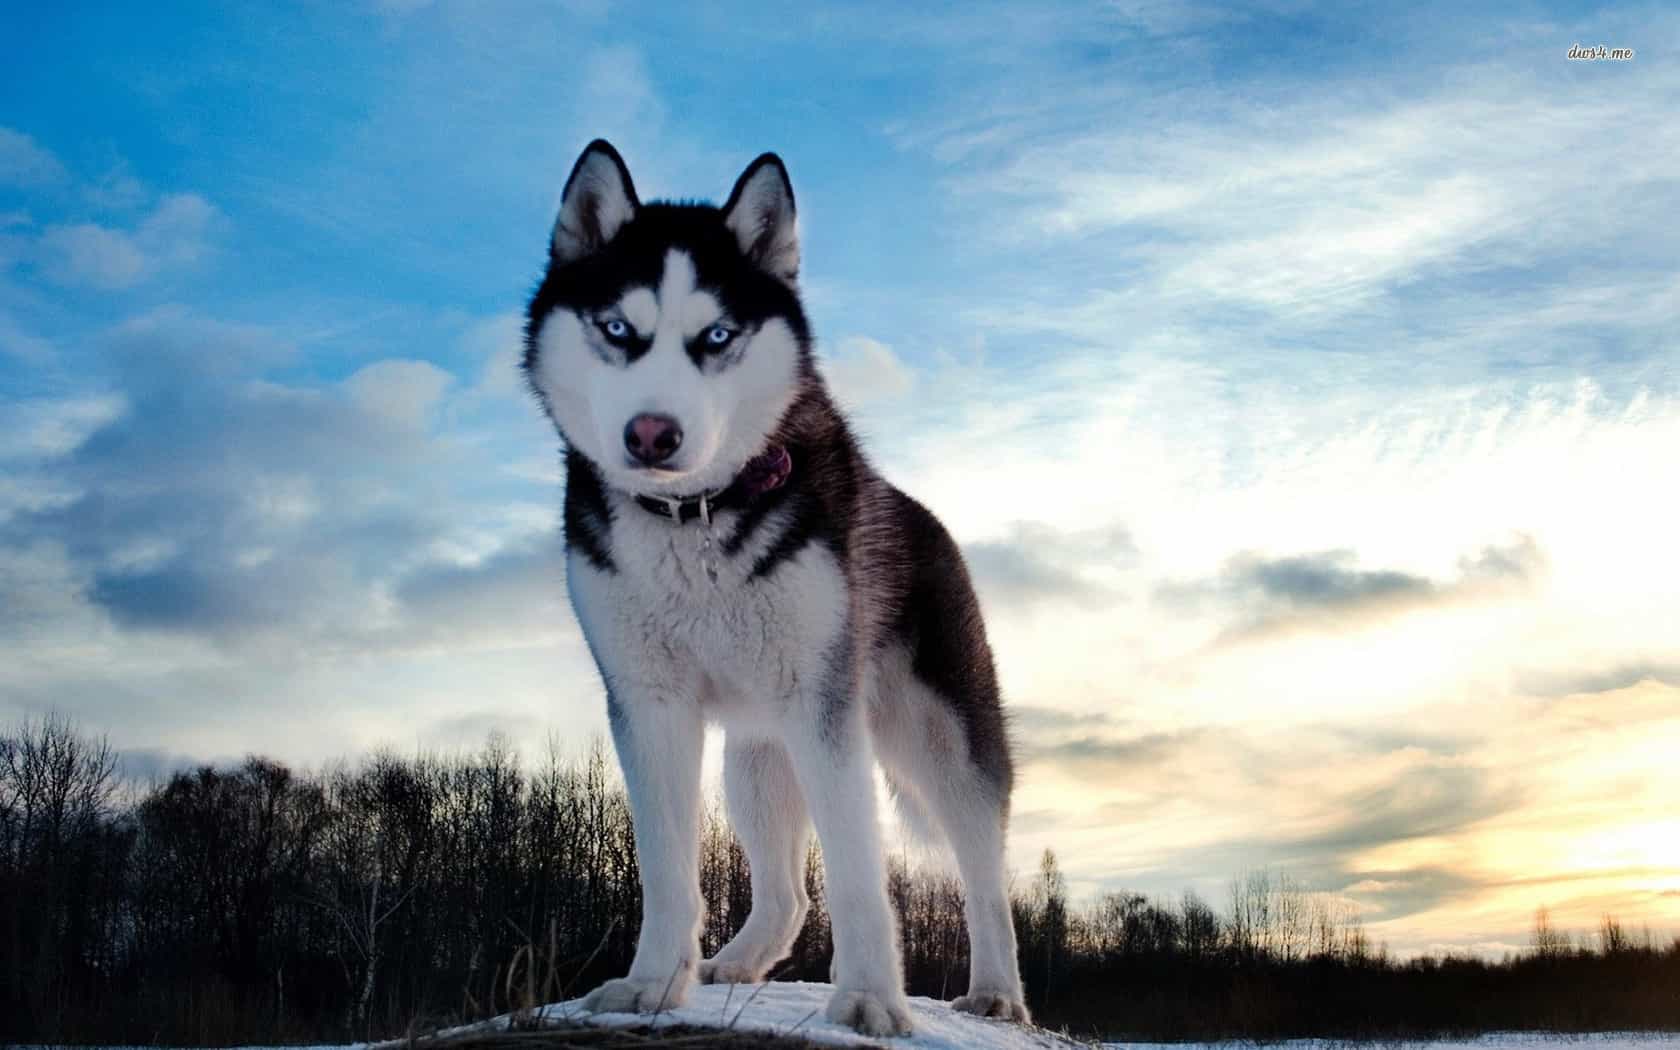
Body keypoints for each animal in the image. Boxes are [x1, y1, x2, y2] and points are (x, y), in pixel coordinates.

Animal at [520, 139, 1021, 1034]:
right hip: (756, 757)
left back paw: (997, 991)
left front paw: (869, 998)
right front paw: (653, 985)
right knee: (788, 895)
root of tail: (923, 514)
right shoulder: (649, 705)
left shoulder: (824, 708)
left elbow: (859, 873)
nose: (652, 434)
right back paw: (741, 961)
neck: (695, 518)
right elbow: (667, 870)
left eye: (717, 335)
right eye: (617, 329)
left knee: (985, 875)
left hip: (937, 740)